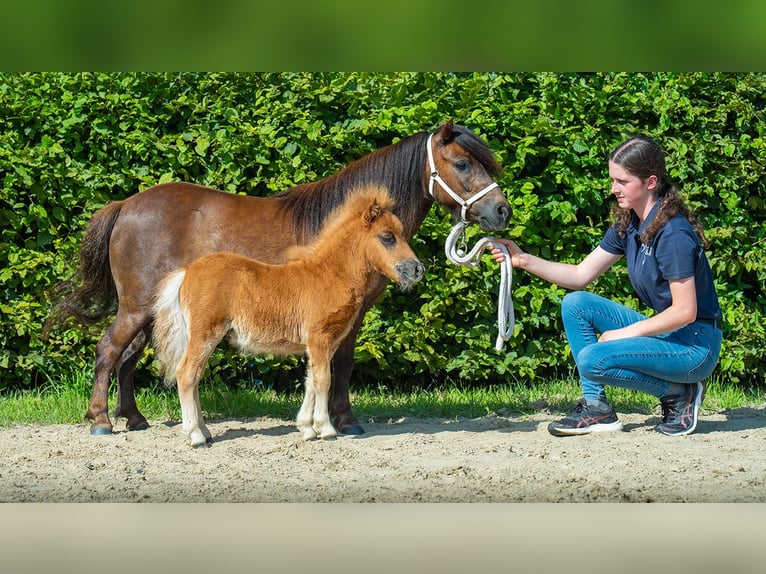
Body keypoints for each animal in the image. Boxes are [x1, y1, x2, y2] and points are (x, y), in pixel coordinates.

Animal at [152, 189, 424, 450]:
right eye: (387, 237)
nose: (418, 270)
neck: (330, 275)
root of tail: (186, 272)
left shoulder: (323, 343)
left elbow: (311, 380)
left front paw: (307, 429)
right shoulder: (320, 339)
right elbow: (323, 380)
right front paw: (326, 429)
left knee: (196, 376)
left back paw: (205, 432)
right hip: (205, 333)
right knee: (186, 374)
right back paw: (196, 435)